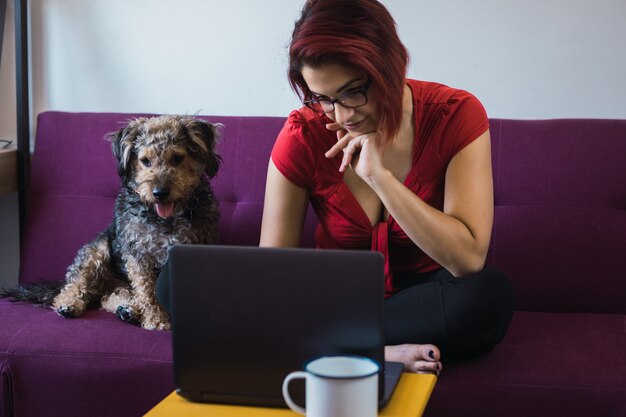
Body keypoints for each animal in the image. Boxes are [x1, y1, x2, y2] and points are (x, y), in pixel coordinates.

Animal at [0, 115, 221, 330]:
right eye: (145, 161)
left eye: (177, 158)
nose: (159, 192)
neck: (163, 219)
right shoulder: (137, 254)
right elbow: (147, 290)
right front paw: (156, 320)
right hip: (97, 250)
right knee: (76, 286)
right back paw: (70, 304)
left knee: (109, 297)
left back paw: (128, 310)